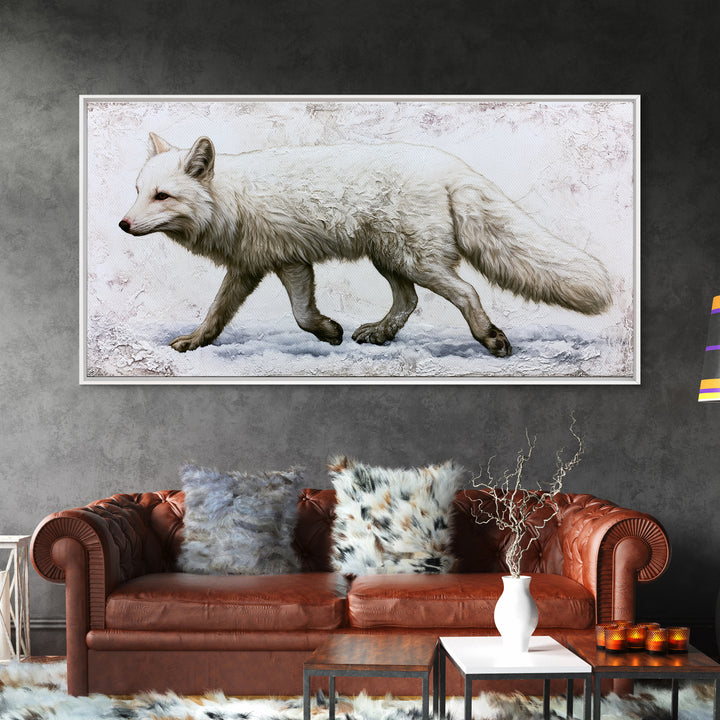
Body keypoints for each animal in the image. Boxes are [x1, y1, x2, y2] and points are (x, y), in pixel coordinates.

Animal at [119, 133, 612, 357]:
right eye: (139, 190)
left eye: (162, 196)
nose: (122, 224)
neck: (231, 200)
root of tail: (450, 165)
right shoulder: (260, 265)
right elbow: (218, 313)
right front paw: (195, 341)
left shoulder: (286, 261)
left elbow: (300, 315)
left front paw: (327, 330)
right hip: (390, 259)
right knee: (409, 302)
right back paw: (379, 333)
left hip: (415, 260)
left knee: (466, 292)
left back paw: (489, 337)